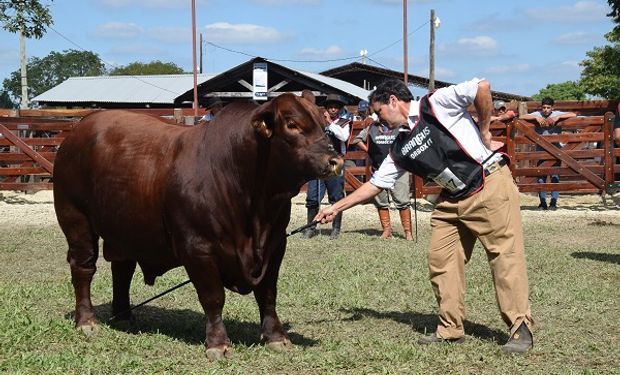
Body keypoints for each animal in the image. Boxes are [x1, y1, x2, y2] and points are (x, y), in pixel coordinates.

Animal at [53, 94, 344, 362]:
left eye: (323, 124)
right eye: (292, 124)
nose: (336, 161)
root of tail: (79, 129)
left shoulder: (275, 245)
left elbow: (268, 293)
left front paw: (276, 337)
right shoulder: (198, 249)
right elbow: (213, 298)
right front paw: (217, 344)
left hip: (124, 230)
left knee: (122, 270)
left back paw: (124, 316)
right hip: (76, 221)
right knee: (83, 269)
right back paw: (87, 321)